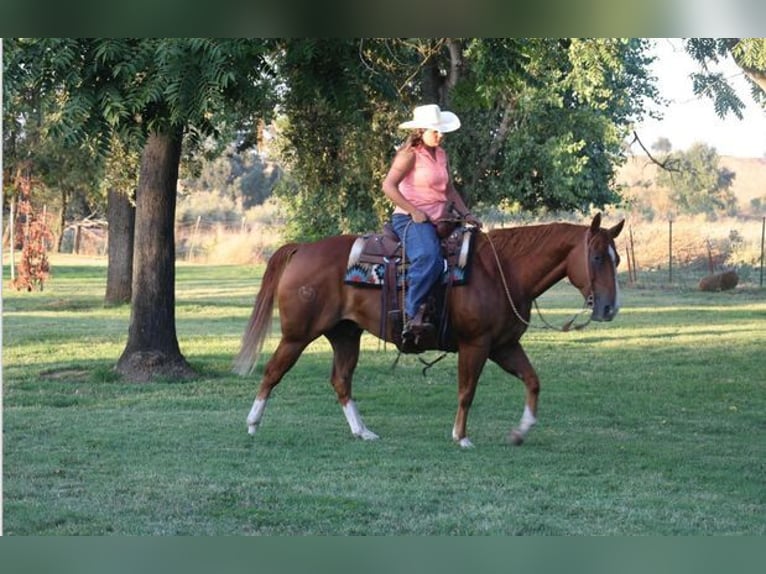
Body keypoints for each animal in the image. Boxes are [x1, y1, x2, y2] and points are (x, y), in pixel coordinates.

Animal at [234, 213, 624, 447]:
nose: (609, 308)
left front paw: (520, 431)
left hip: (345, 334)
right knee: (273, 372)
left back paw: (363, 431)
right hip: (297, 335)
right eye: (596, 258)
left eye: (617, 258)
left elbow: (532, 381)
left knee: (341, 381)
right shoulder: (476, 344)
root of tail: (302, 248)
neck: (504, 271)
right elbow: (467, 390)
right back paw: (252, 423)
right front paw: (461, 437)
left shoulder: (504, 345)